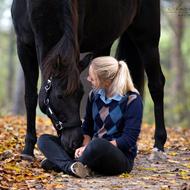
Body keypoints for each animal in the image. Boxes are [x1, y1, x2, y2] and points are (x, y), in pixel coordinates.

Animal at [11, 0, 167, 161]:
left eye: (80, 95)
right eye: (59, 96)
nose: (75, 141)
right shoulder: (23, 46)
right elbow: (30, 98)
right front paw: (28, 150)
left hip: (148, 39)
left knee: (156, 85)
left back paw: (159, 146)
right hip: (105, 41)